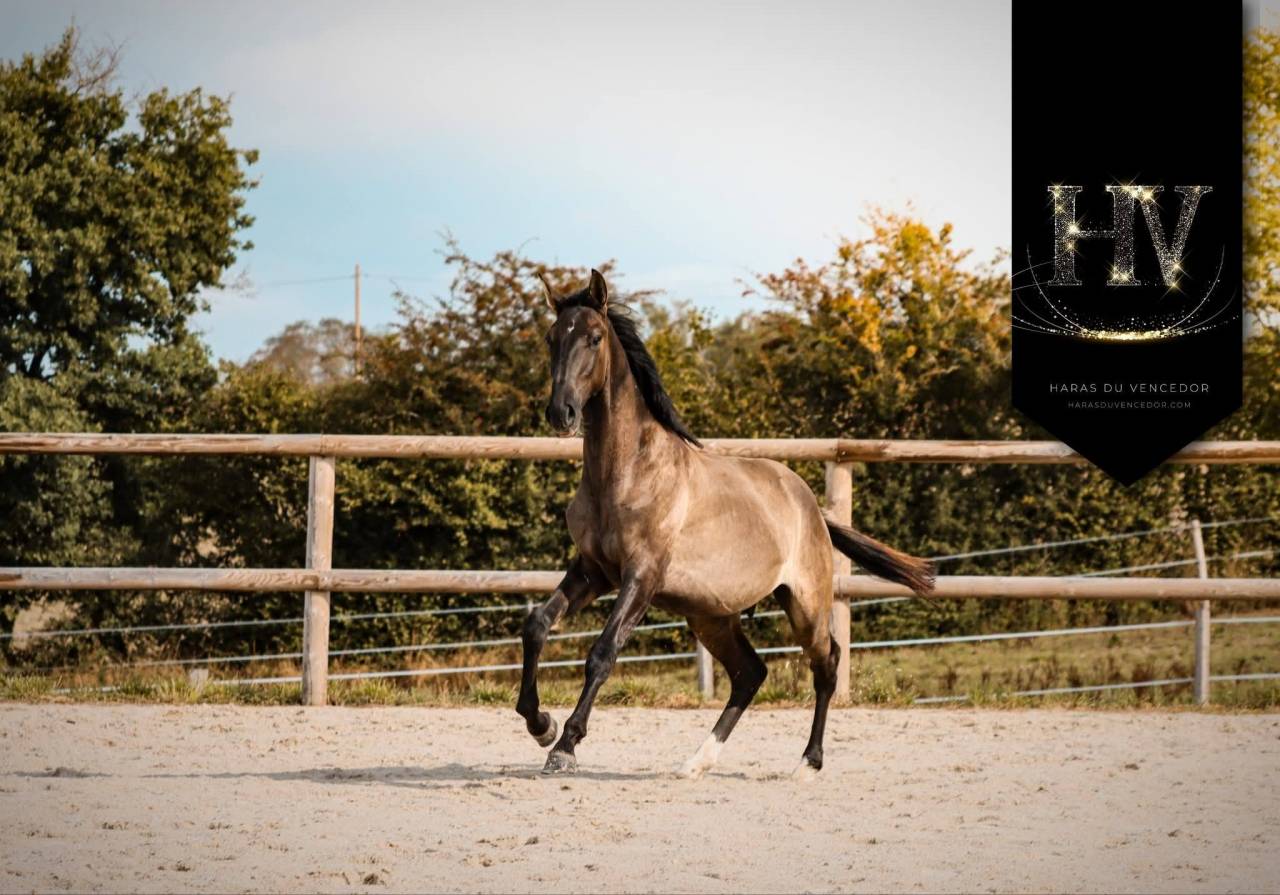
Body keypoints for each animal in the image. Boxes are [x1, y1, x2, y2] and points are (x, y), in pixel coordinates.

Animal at [516, 269, 935, 779]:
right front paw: (541, 724)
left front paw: (565, 746)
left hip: (805, 605)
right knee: (750, 672)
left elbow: (601, 653)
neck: (626, 473)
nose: (561, 413)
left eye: (594, 338)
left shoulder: (641, 577)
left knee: (826, 663)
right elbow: (537, 625)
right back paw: (696, 762)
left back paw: (808, 763)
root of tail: (812, 508)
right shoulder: (593, 571)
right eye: (551, 338)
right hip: (710, 616)